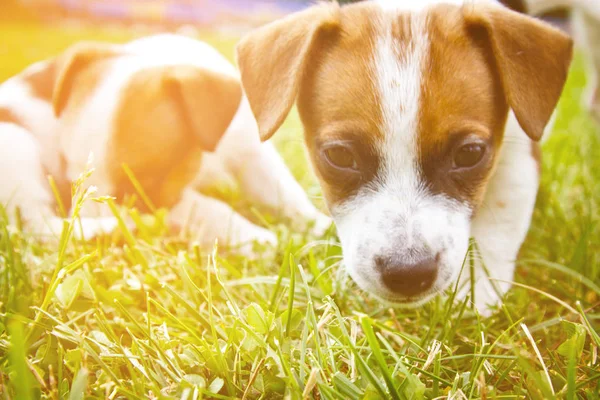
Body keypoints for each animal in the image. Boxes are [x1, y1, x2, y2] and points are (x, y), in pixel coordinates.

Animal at [0, 35, 330, 253]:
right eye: (71, 184)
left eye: (133, 189)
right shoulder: (165, 201)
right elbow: (209, 209)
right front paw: (253, 237)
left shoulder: (252, 153)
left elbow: (287, 195)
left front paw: (320, 227)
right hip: (17, 146)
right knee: (33, 224)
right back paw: (100, 232)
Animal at [236, 0, 572, 312]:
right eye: (340, 155)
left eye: (469, 154)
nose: (408, 273)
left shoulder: (520, 144)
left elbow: (502, 215)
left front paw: (478, 289)